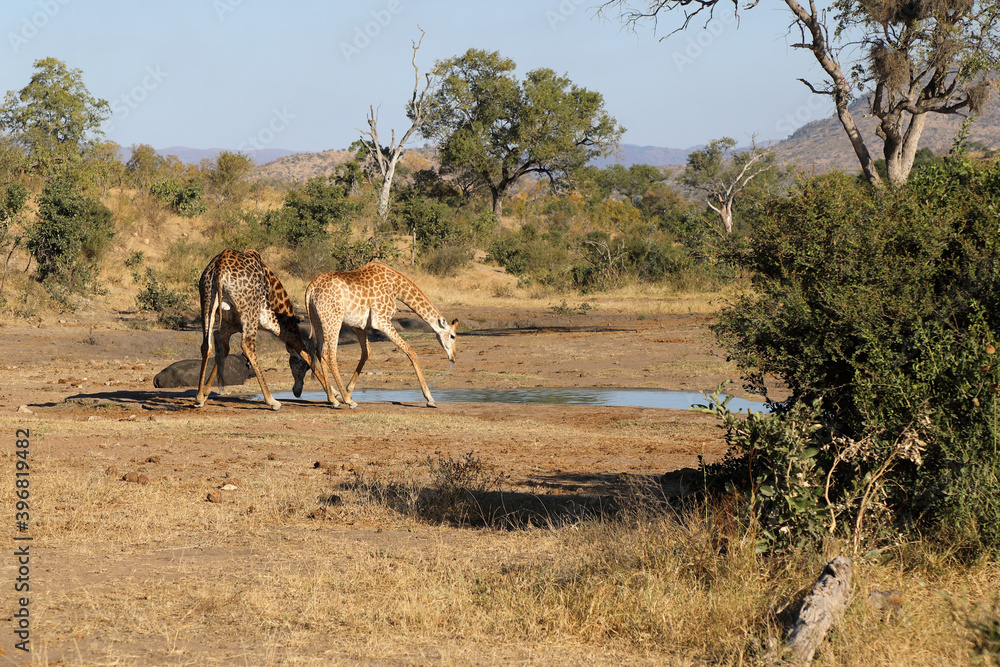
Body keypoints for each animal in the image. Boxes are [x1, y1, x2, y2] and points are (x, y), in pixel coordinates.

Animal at [194, 249, 314, 410]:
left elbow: (223, 349)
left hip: (207, 301)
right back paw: (272, 401)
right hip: (250, 312)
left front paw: (205, 393)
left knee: (206, 345)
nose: (297, 392)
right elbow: (303, 349)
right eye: (304, 367)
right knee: (247, 345)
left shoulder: (229, 325)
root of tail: (220, 268)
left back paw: (198, 398)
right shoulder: (271, 321)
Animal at [304, 262, 458, 408]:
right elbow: (410, 351)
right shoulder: (381, 320)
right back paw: (348, 401)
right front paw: (430, 398)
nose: (453, 358)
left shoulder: (359, 325)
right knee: (329, 353)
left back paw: (333, 399)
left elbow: (366, 352)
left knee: (319, 351)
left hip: (318, 320)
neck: (396, 287)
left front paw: (348, 391)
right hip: (333, 319)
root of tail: (310, 289)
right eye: (452, 336)